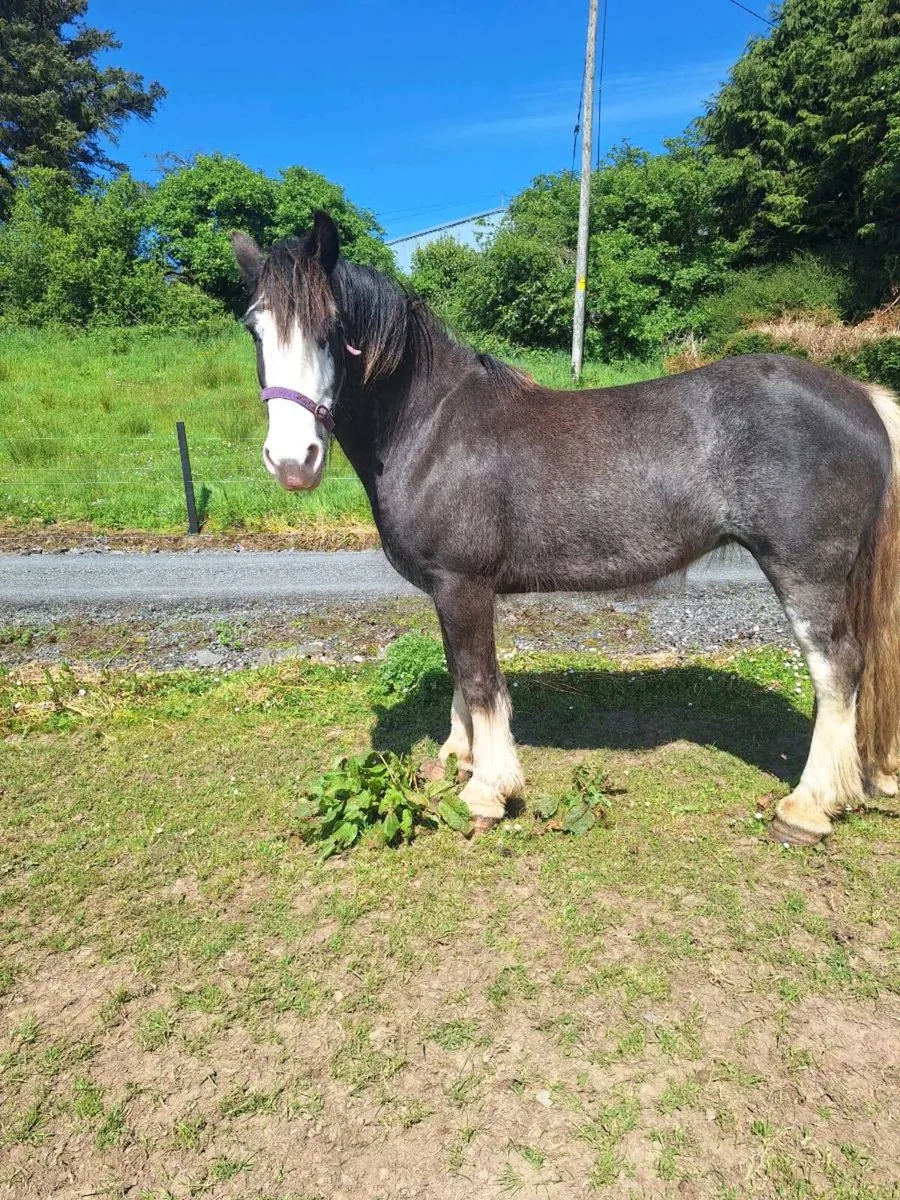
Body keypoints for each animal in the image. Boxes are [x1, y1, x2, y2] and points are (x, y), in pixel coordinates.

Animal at [230, 210, 900, 845]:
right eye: (254, 328)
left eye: (332, 330)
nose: (293, 462)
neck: (431, 426)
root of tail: (862, 398)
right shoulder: (448, 590)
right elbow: (457, 668)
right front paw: (458, 757)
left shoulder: (464, 585)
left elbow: (481, 678)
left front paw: (486, 792)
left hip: (806, 572)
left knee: (837, 667)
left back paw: (807, 807)